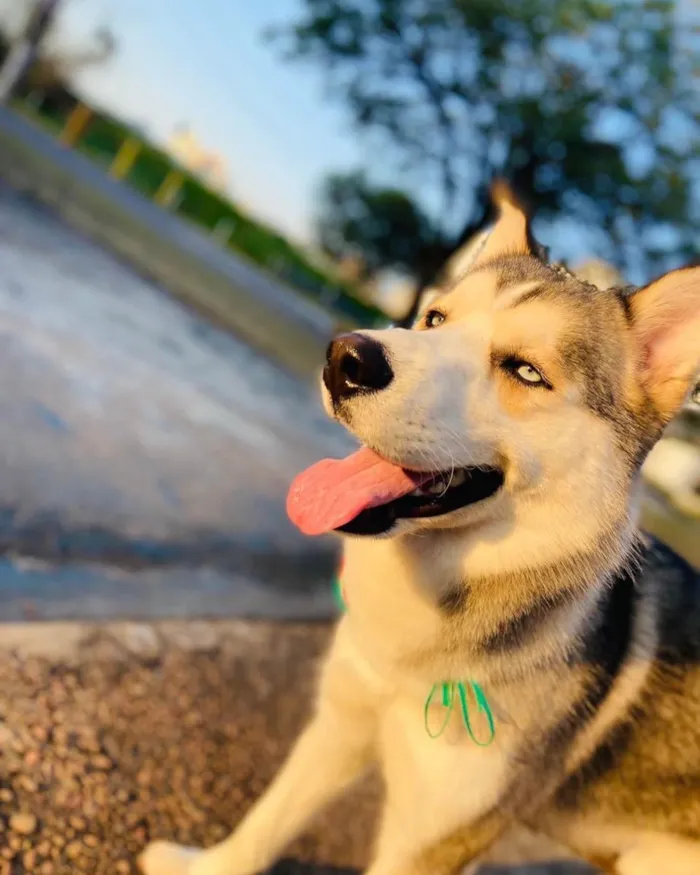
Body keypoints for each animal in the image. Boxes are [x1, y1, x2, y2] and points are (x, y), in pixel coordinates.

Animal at [139, 183, 700, 875]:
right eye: (435, 319)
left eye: (526, 371)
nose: (346, 358)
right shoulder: (342, 721)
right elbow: (265, 826)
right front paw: (206, 865)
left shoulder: (431, 839)